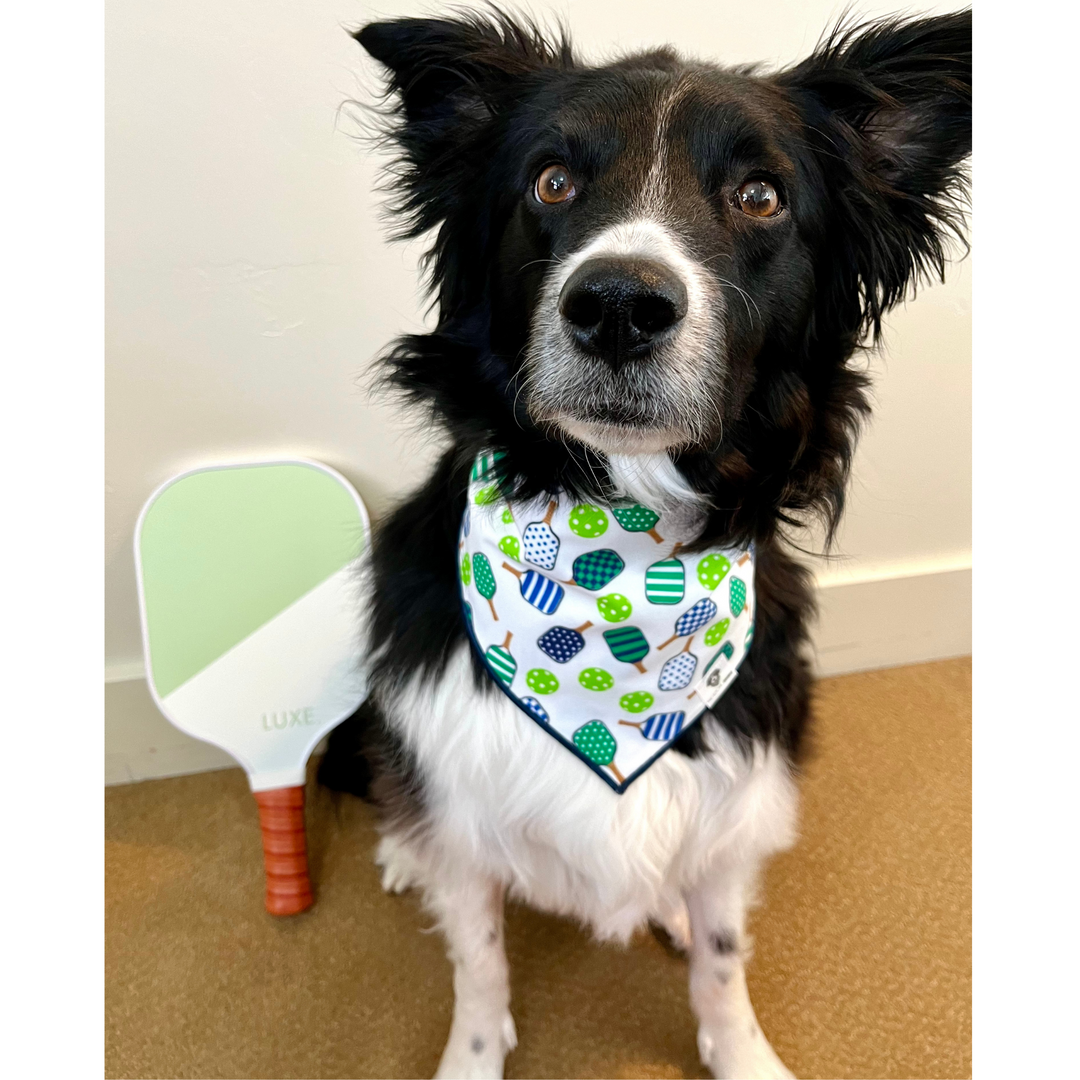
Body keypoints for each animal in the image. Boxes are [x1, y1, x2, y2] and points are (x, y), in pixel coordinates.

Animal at [317, 10, 972, 1080]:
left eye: (759, 195)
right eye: (551, 181)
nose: (619, 305)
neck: (613, 546)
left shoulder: (738, 792)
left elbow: (723, 960)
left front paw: (741, 1051)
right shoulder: (460, 791)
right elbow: (478, 959)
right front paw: (473, 1051)